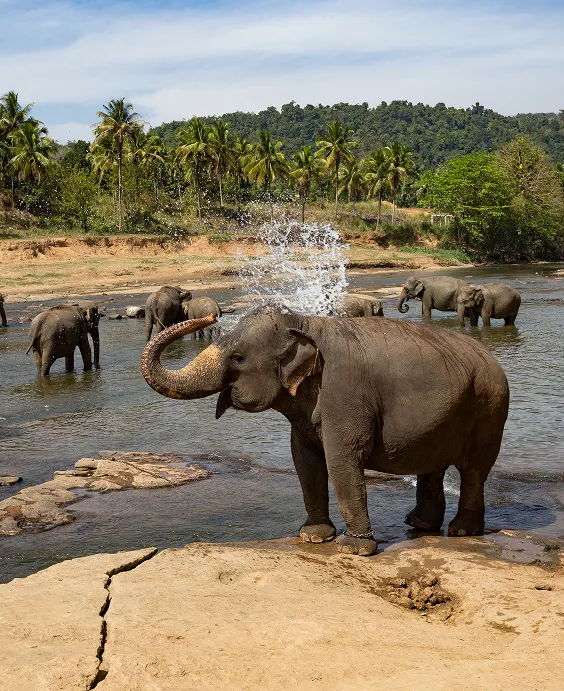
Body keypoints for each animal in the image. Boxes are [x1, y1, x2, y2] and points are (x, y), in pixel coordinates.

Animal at [141, 305, 509, 556]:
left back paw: (462, 532)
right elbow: (305, 461)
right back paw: (419, 525)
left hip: (490, 409)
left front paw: (353, 549)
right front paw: (314, 537)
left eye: (238, 357)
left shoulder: (345, 394)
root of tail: (492, 358)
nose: (209, 317)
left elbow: (341, 459)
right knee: (433, 466)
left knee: (474, 469)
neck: (303, 322)